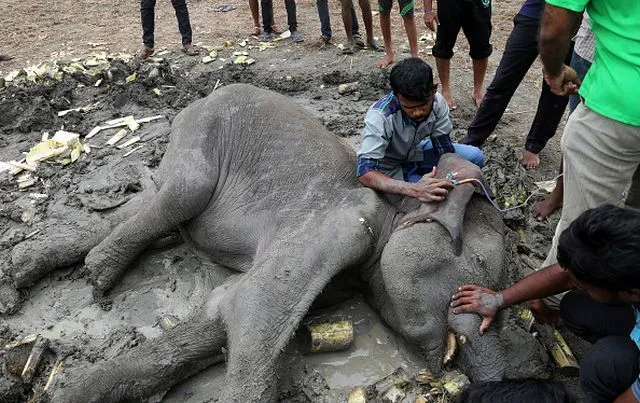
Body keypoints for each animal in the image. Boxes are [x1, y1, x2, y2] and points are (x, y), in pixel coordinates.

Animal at [6, 83, 510, 402]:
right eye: (479, 263)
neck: (397, 204)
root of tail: (204, 95)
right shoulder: (337, 226)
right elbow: (249, 306)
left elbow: (222, 310)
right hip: (201, 132)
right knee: (179, 194)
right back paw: (97, 275)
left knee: (153, 201)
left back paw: (21, 274)